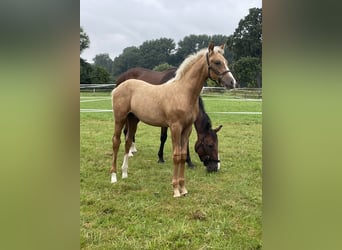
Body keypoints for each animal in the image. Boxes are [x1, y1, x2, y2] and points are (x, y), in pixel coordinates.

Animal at [111, 44, 236, 198]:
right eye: (217, 62)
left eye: (226, 62)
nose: (232, 82)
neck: (183, 92)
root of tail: (119, 86)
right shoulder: (175, 127)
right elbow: (176, 155)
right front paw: (176, 190)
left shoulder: (187, 128)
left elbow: (182, 155)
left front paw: (183, 188)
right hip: (120, 118)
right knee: (116, 142)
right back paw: (114, 177)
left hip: (133, 119)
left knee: (128, 141)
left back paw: (124, 173)